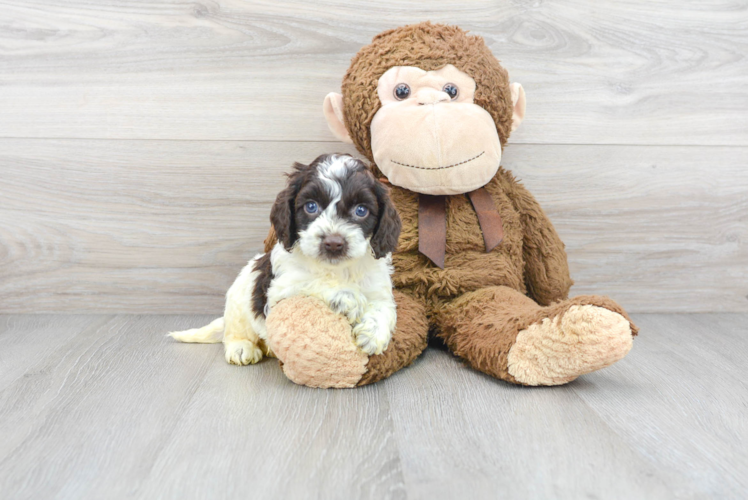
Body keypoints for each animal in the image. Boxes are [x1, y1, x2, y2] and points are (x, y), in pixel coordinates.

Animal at [169, 154, 404, 366]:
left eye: (361, 210)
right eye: (311, 206)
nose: (333, 243)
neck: (338, 269)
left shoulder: (378, 287)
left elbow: (384, 309)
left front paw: (373, 334)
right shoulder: (281, 289)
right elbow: (312, 282)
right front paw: (348, 296)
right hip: (239, 302)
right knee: (234, 332)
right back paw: (241, 348)